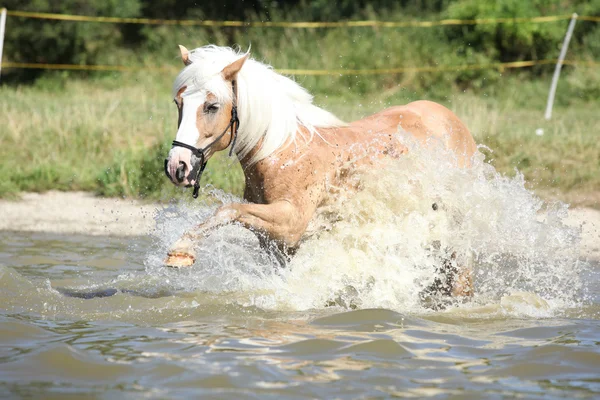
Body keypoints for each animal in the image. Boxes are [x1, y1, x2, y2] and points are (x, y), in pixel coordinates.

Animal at [162, 45, 476, 298]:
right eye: (178, 103)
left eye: (212, 106)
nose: (178, 166)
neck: (283, 152)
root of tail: (450, 119)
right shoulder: (277, 245)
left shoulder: (291, 223)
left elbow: (227, 210)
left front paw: (180, 251)